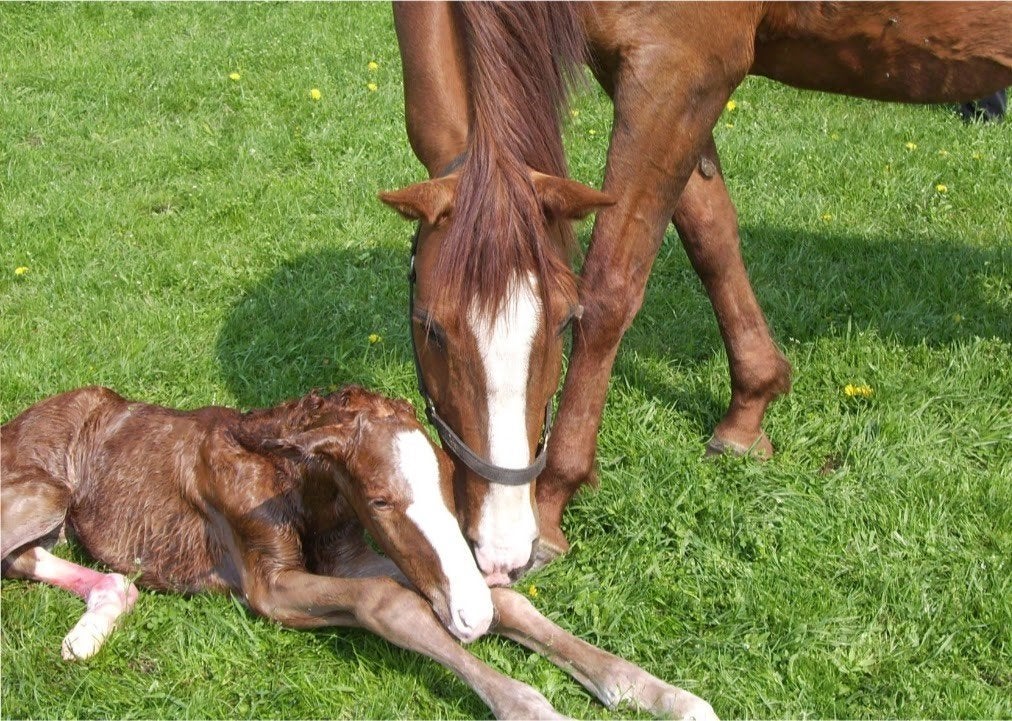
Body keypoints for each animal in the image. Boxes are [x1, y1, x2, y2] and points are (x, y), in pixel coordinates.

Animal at [0, 385, 716, 720]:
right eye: (380, 499)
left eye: (445, 484)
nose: (471, 618)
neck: (293, 480)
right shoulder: (269, 585)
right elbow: (389, 604)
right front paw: (530, 704)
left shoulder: (346, 557)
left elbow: (508, 603)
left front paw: (658, 692)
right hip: (40, 495)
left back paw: (90, 631)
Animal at [381, 1, 1012, 580]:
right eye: (429, 328)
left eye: (561, 321)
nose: (501, 548)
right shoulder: (656, 74)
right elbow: (710, 234)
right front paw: (749, 411)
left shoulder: (680, 64)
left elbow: (611, 287)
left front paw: (556, 499)